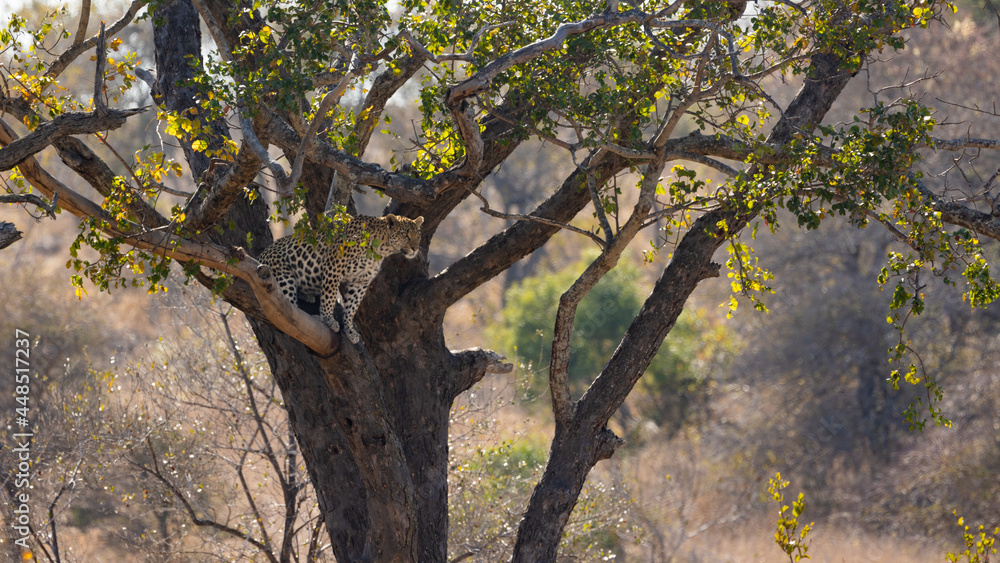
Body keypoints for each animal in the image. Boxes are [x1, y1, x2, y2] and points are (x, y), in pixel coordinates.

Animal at [258, 214, 424, 344]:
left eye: (418, 236)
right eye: (406, 235)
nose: (415, 248)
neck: (380, 249)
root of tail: (260, 256)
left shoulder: (361, 281)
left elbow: (352, 306)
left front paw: (350, 330)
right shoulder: (334, 267)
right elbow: (329, 297)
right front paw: (328, 319)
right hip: (282, 275)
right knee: (287, 312)